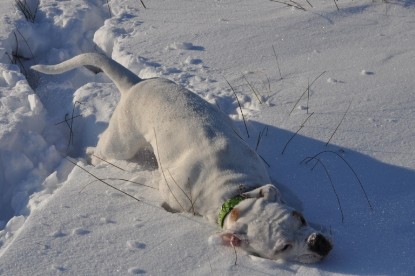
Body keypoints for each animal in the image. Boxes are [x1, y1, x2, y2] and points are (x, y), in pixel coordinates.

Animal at [32, 53, 334, 264]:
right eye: (283, 247)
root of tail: (136, 84)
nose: (318, 243)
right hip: (119, 144)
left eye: (300, 218)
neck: (233, 192)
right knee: (98, 152)